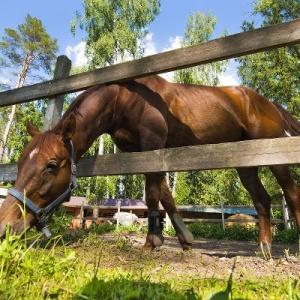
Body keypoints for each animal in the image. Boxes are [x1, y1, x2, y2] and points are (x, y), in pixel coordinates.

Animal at [0, 74, 300, 251]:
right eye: (21, 164)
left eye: (51, 165)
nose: (6, 226)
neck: (125, 100)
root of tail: (266, 102)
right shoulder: (144, 152)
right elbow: (165, 195)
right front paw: (184, 240)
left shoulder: (153, 147)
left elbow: (153, 194)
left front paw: (151, 241)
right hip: (246, 163)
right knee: (262, 200)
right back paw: (264, 248)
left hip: (275, 155)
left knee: (291, 193)